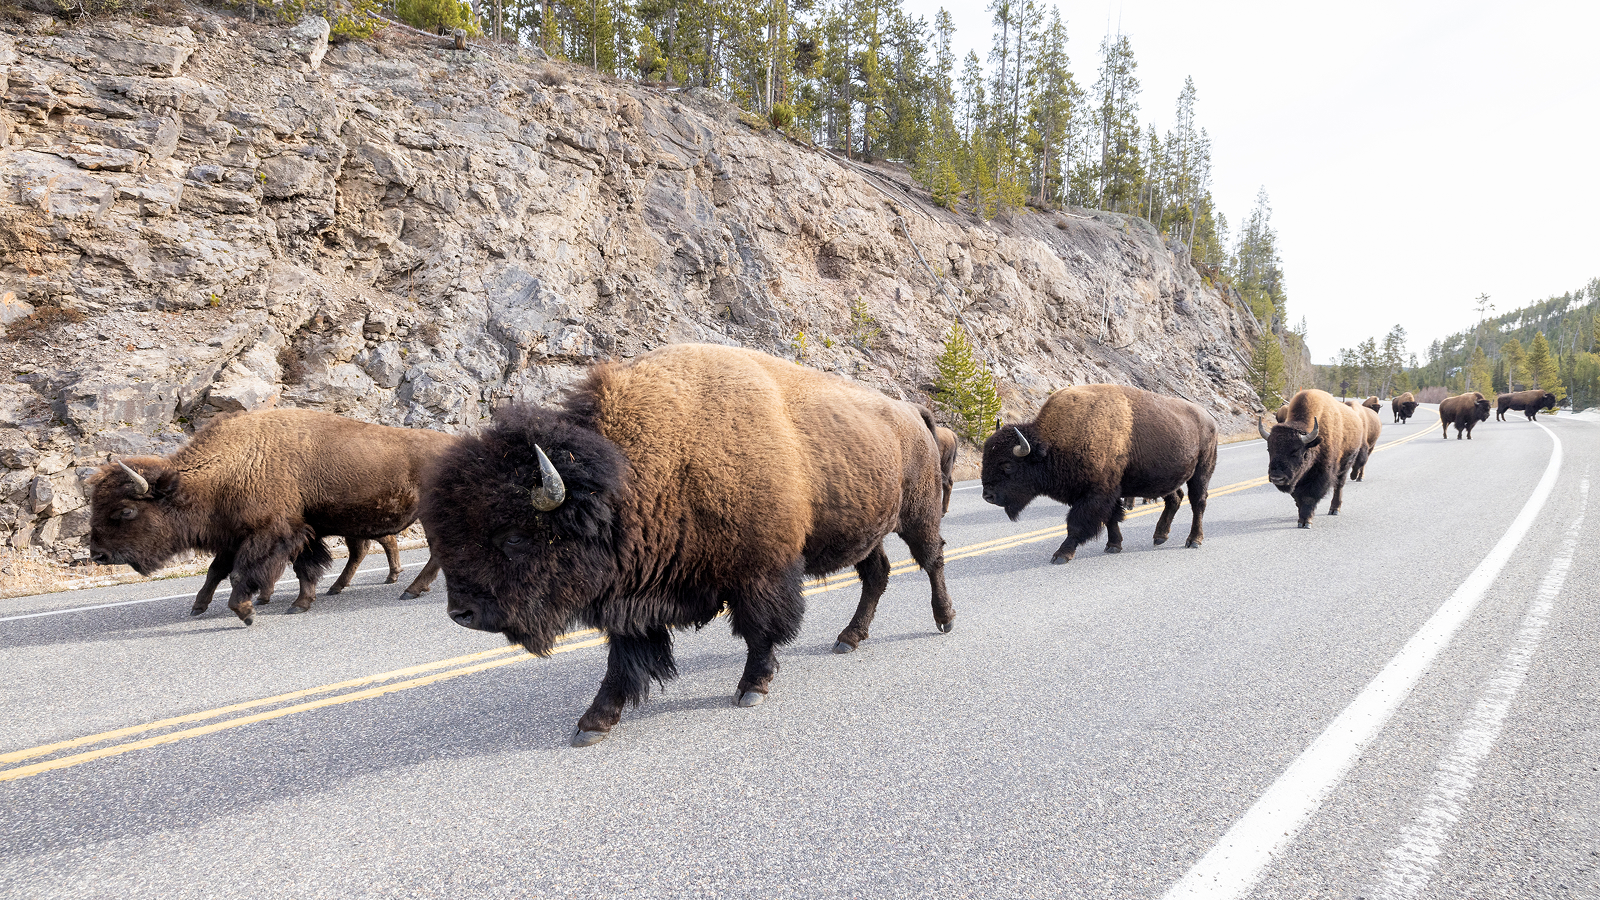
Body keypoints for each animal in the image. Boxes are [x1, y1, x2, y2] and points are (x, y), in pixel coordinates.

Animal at [87, 409, 454, 621]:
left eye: (125, 510)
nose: (98, 555)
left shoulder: (272, 534)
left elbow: (243, 572)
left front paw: (247, 610)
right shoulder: (252, 534)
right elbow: (219, 571)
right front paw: (199, 607)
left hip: (429, 516)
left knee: (434, 551)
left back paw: (410, 589)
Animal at [419, 341, 953, 743]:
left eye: (513, 536)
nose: (461, 613)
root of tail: (913, 411)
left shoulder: (760, 573)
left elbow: (760, 631)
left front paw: (752, 688)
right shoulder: (633, 594)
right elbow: (625, 658)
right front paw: (594, 722)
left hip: (917, 515)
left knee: (932, 561)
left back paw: (944, 620)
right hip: (869, 530)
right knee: (877, 575)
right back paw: (849, 638)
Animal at [972, 384, 1209, 560]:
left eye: (1007, 465)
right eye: (985, 460)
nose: (987, 496)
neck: (1052, 443)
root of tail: (1207, 417)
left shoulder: (1096, 493)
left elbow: (1077, 524)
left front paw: (1061, 554)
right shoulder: (1106, 492)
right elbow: (1111, 517)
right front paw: (1113, 545)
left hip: (1202, 471)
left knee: (1198, 503)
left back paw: (1194, 541)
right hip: (1165, 479)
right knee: (1175, 498)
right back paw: (1160, 536)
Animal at [1254, 387, 1369, 525]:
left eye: (1296, 451)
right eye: (1269, 449)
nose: (1277, 477)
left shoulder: (1320, 475)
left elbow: (1309, 496)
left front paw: (1305, 521)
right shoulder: (1297, 479)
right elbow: (1298, 497)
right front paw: (1301, 518)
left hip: (1345, 465)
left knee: (1339, 486)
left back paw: (1334, 509)